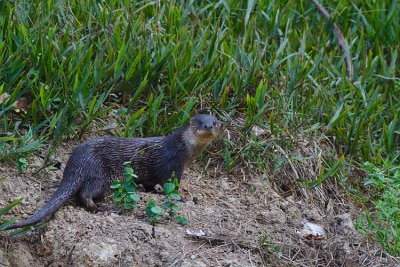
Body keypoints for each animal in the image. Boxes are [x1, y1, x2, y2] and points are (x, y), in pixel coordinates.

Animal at [3, 114, 222, 231]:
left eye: (214, 122)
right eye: (200, 122)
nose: (208, 126)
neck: (184, 150)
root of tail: (74, 163)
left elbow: (150, 184)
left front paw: (150, 191)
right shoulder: (172, 166)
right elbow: (170, 185)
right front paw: (182, 197)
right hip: (98, 176)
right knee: (85, 193)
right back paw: (100, 208)